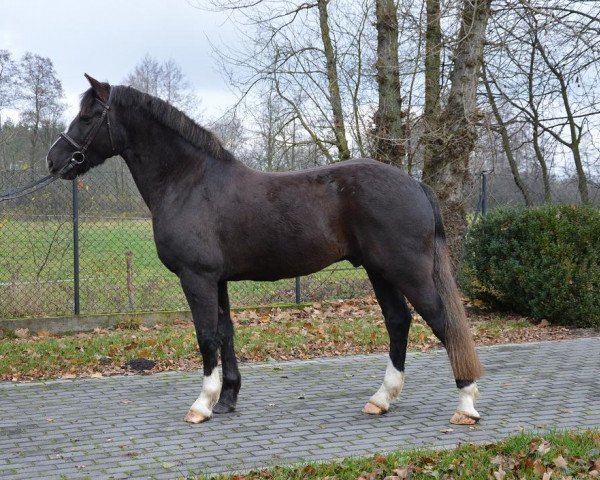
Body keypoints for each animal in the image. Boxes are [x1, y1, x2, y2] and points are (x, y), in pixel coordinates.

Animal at [44, 74, 482, 424]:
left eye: (89, 115)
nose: (54, 159)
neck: (189, 182)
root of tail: (415, 184)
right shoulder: (216, 280)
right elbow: (225, 333)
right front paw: (226, 400)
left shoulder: (196, 277)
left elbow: (206, 336)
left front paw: (202, 405)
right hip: (380, 270)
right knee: (398, 322)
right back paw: (382, 399)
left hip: (407, 270)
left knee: (442, 323)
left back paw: (465, 405)